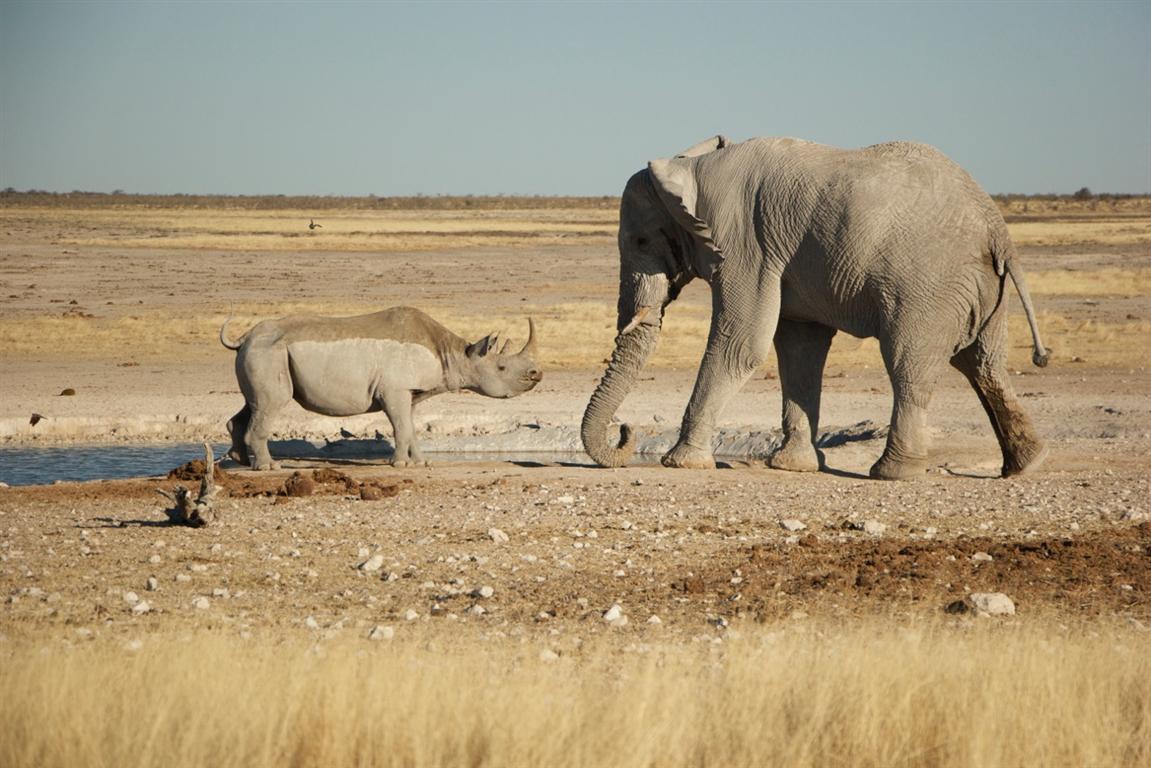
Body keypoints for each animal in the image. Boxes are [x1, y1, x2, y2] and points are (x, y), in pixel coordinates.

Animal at [584, 135, 1054, 476]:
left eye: (640, 241)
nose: (624, 429)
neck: (689, 167)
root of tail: (997, 229)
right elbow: (799, 349)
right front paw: (792, 467)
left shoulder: (743, 243)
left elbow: (742, 344)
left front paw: (681, 463)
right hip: (979, 287)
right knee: (983, 365)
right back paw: (1023, 465)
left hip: (929, 285)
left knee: (909, 365)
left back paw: (891, 472)